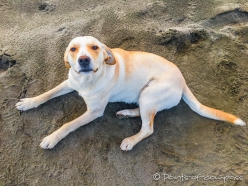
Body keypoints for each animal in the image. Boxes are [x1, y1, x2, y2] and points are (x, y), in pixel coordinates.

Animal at [16, 36, 246, 151]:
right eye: (73, 49)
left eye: (94, 47)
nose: (83, 60)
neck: (87, 80)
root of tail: (182, 80)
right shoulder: (70, 81)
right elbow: (48, 93)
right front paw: (29, 102)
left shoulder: (94, 111)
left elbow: (68, 125)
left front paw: (51, 138)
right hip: (145, 97)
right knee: (145, 114)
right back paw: (126, 112)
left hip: (149, 94)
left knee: (148, 128)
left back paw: (130, 140)